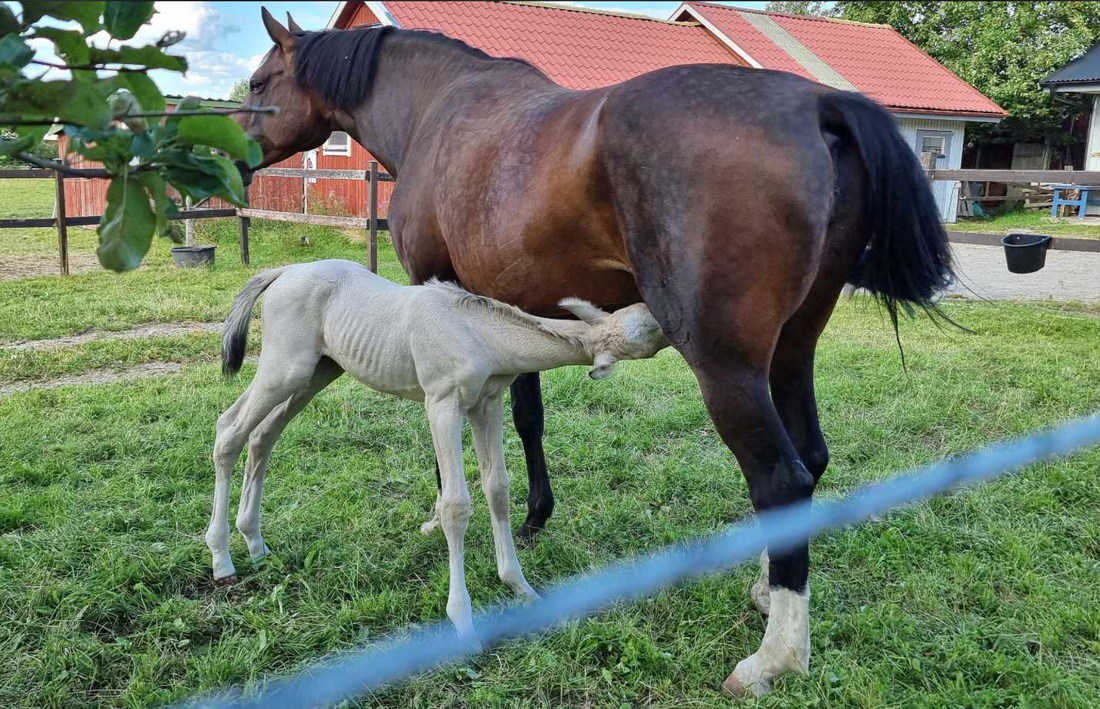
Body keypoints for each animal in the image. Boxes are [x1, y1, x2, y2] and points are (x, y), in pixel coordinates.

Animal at [209, 258, 668, 639]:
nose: (670, 312)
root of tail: (283, 272)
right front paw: (462, 620)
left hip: (318, 372)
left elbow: (497, 489)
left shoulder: (486, 406)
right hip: (283, 369)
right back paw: (222, 559)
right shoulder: (442, 404)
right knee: (229, 430)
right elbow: (456, 505)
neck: (478, 333)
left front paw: (519, 585)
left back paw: (255, 544)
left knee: (262, 435)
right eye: (648, 325)